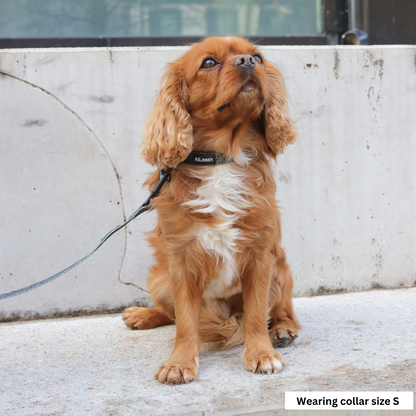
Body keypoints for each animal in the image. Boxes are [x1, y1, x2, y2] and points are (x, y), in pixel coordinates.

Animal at [122, 35, 300, 384]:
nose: (248, 61)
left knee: (283, 309)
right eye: (208, 63)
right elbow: (185, 321)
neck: (221, 158)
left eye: (258, 57)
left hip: (282, 268)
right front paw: (179, 361)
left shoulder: (261, 255)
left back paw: (283, 330)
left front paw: (261, 353)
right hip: (159, 279)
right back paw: (143, 314)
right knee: (169, 313)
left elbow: (256, 313)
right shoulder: (180, 259)